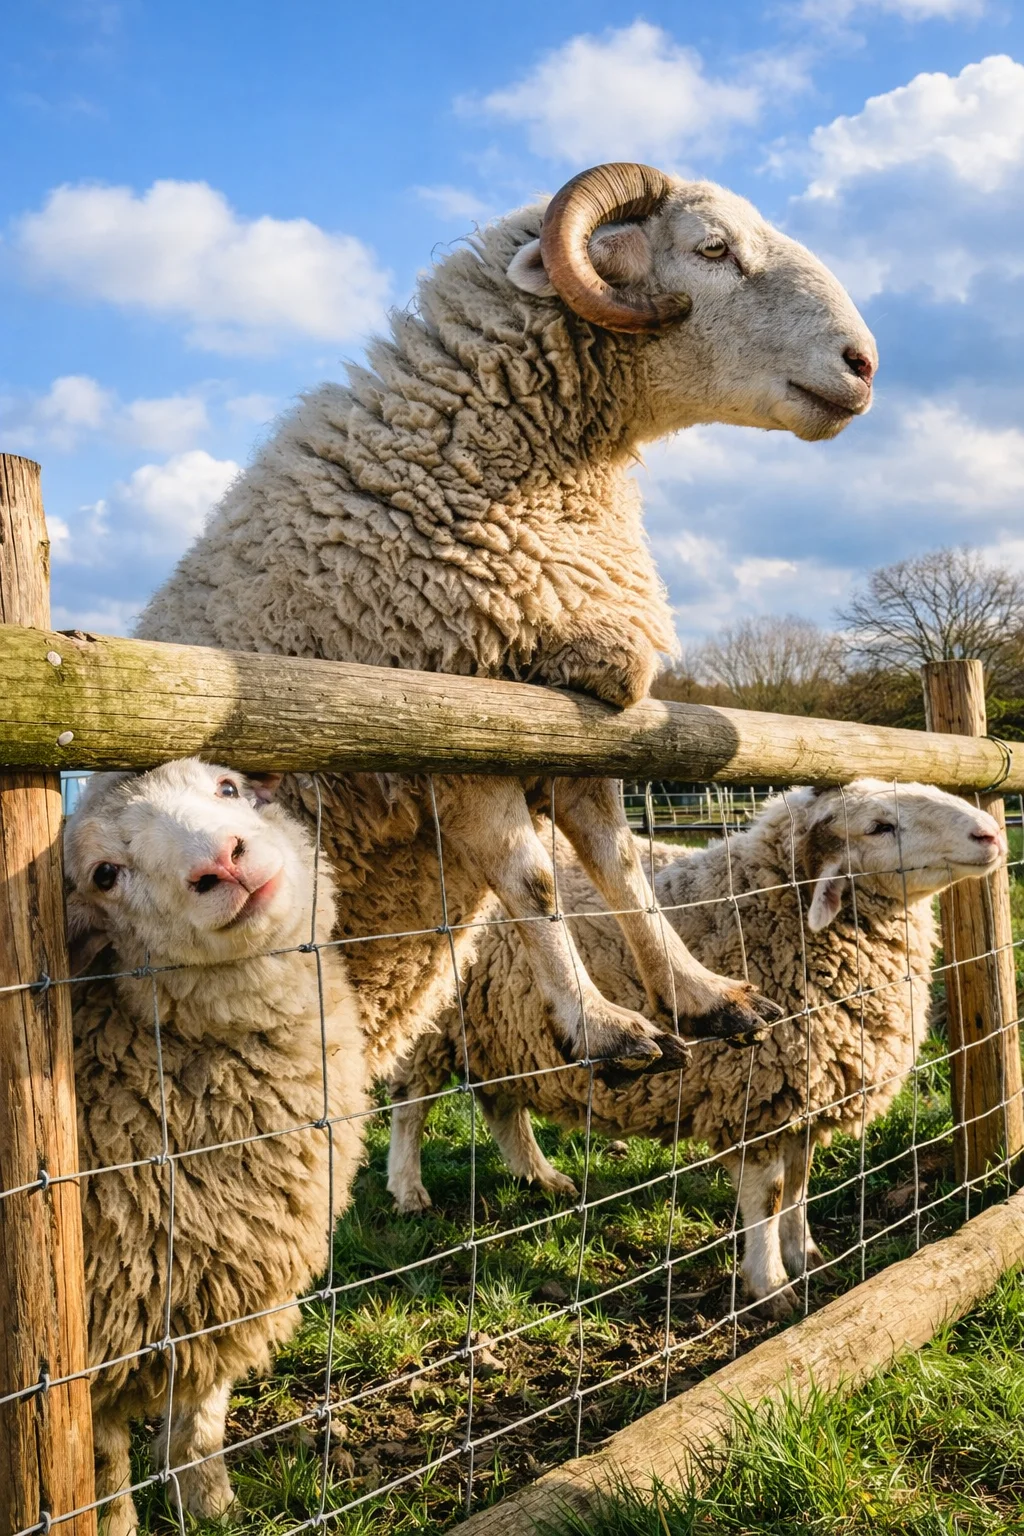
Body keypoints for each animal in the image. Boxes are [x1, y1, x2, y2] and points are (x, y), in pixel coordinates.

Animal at [64, 759, 367, 1536]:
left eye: (227, 788)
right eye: (104, 874)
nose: (222, 861)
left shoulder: (213, 1289)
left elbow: (199, 1425)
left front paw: (213, 1511)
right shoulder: (96, 1337)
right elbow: (101, 1470)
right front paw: (117, 1528)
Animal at [136, 161, 877, 1084]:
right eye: (713, 248)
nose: (864, 364)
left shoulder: (583, 726)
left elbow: (623, 866)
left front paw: (701, 995)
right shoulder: (456, 738)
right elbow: (538, 885)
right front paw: (605, 1029)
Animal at [386, 780, 1004, 1318]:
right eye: (879, 826)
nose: (991, 834)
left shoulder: (802, 1101)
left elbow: (800, 1187)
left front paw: (807, 1257)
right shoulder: (756, 1098)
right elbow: (770, 1196)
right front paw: (770, 1287)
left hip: (503, 1030)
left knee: (500, 1104)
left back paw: (540, 1176)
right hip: (431, 1026)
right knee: (411, 1105)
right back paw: (409, 1189)